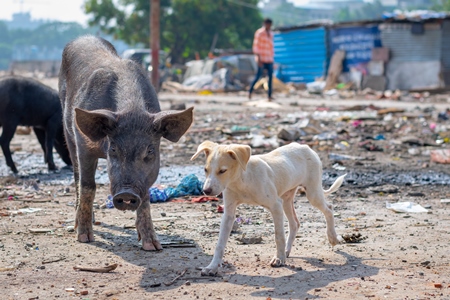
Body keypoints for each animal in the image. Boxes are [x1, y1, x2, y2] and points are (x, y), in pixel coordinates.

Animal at [59, 35, 192, 251]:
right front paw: (85, 238)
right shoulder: (84, 143)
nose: (127, 193)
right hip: (67, 131)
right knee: (77, 177)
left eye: (150, 151)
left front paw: (153, 246)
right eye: (113, 148)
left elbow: (146, 196)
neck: (132, 109)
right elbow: (88, 186)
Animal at [192, 141, 346, 276]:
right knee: (295, 223)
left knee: (329, 209)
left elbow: (278, 235)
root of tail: (305, 147)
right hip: (286, 199)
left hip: (312, 193)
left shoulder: (275, 206)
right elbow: (220, 244)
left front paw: (279, 259)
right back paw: (287, 250)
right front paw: (212, 267)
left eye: (223, 170)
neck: (242, 180)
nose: (206, 191)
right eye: (205, 170)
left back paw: (332, 237)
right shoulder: (229, 213)